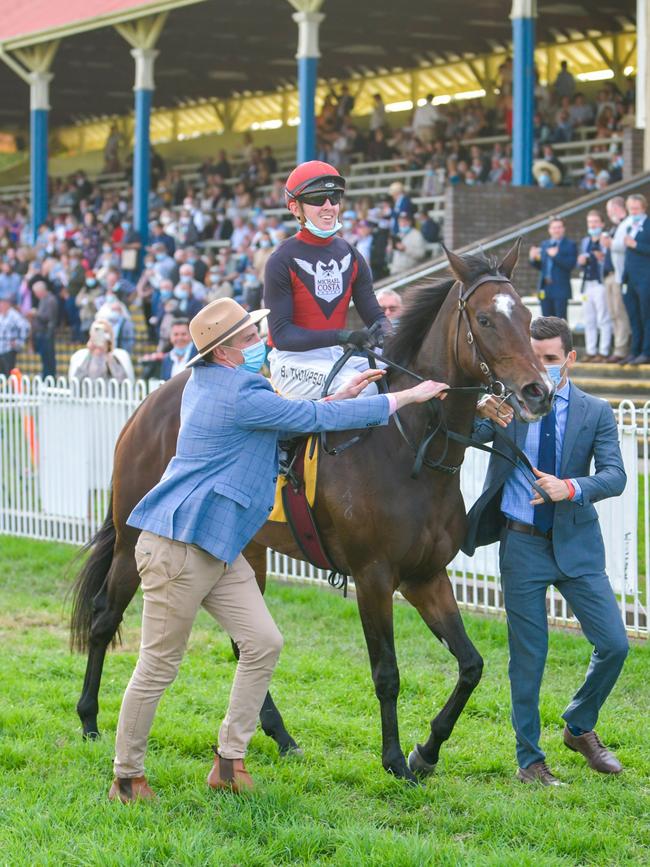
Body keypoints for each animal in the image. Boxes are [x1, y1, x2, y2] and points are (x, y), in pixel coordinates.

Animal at [71, 246, 548, 788]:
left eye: (529, 318)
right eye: (485, 319)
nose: (538, 392)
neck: (411, 447)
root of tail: (147, 404)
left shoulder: (426, 576)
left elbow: (472, 664)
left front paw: (426, 752)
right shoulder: (374, 577)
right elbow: (387, 672)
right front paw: (393, 758)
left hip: (245, 551)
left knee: (244, 643)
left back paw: (280, 737)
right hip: (133, 539)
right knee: (105, 616)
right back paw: (89, 719)